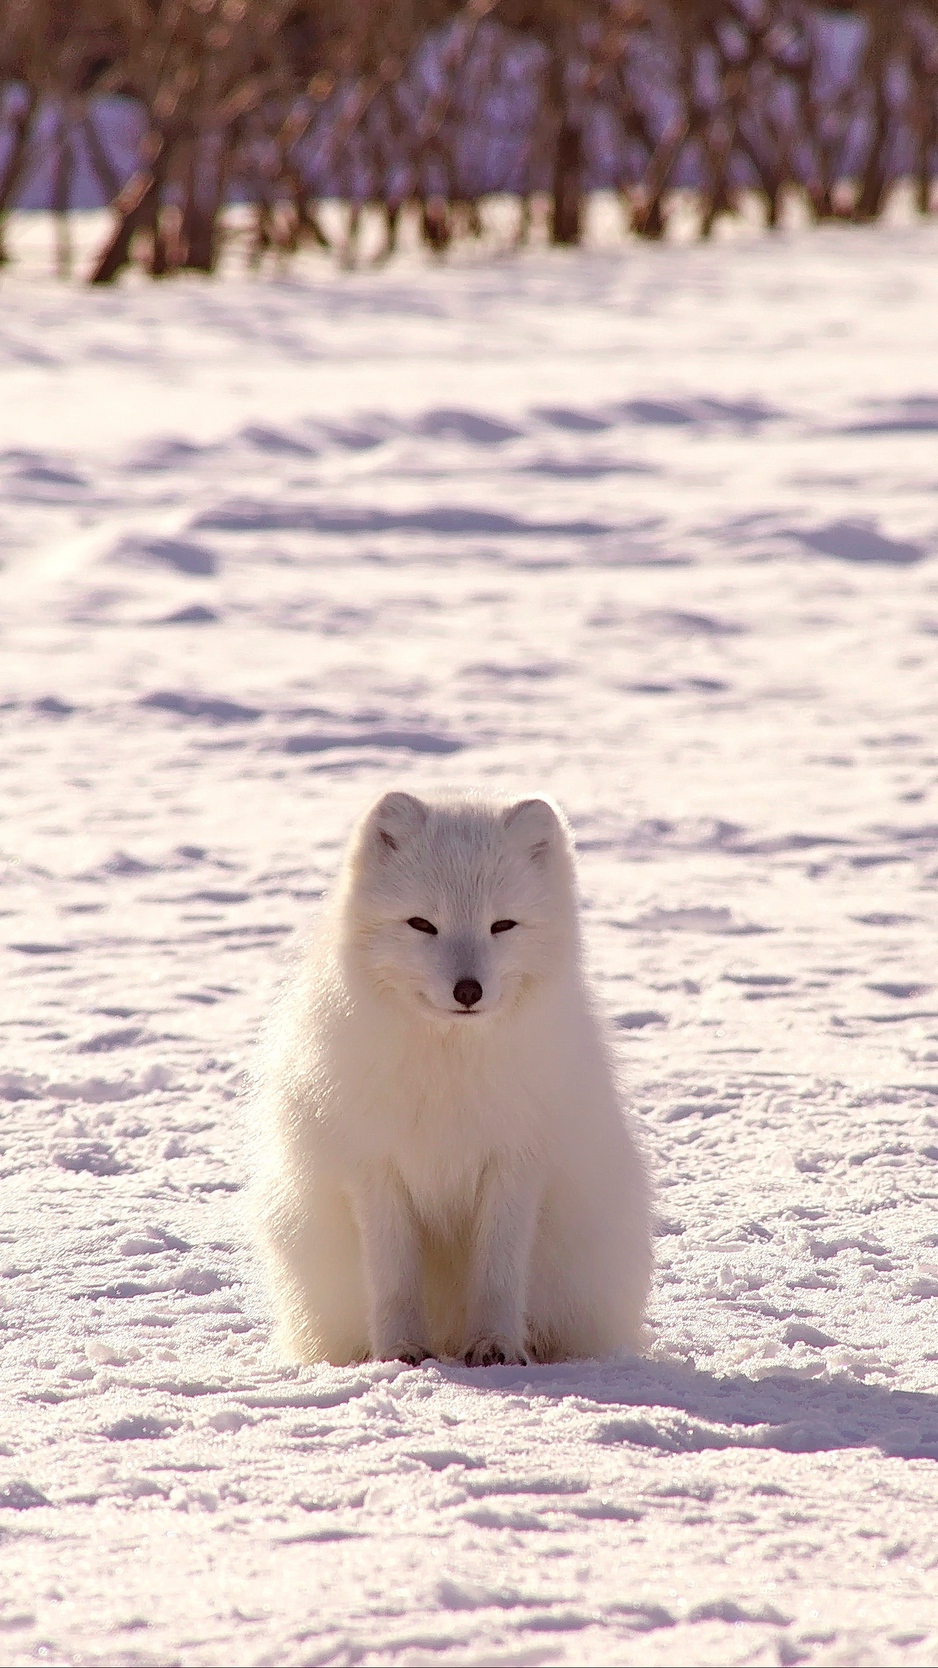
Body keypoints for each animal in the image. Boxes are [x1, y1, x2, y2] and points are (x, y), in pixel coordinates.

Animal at [252, 793, 654, 1367]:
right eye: (422, 924)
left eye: (502, 925)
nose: (469, 990)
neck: (448, 1066)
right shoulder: (374, 1168)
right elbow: (394, 1278)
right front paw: (399, 1351)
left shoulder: (516, 1163)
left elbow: (498, 1273)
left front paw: (495, 1346)